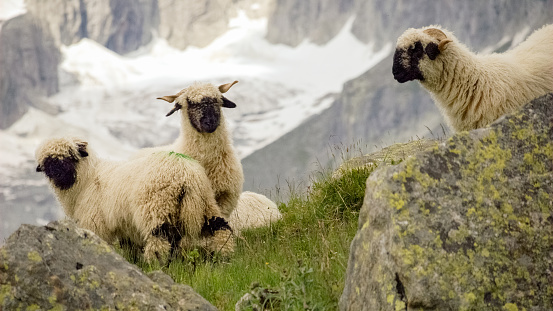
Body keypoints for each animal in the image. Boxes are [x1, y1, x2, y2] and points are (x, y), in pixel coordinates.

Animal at [34, 136, 233, 264]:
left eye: (71, 156)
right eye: (48, 163)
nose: (59, 175)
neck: (86, 180)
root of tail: (185, 173)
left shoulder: (95, 223)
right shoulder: (125, 227)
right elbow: (130, 250)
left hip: (156, 209)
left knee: (159, 242)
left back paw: (156, 265)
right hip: (205, 204)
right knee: (221, 228)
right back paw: (224, 258)